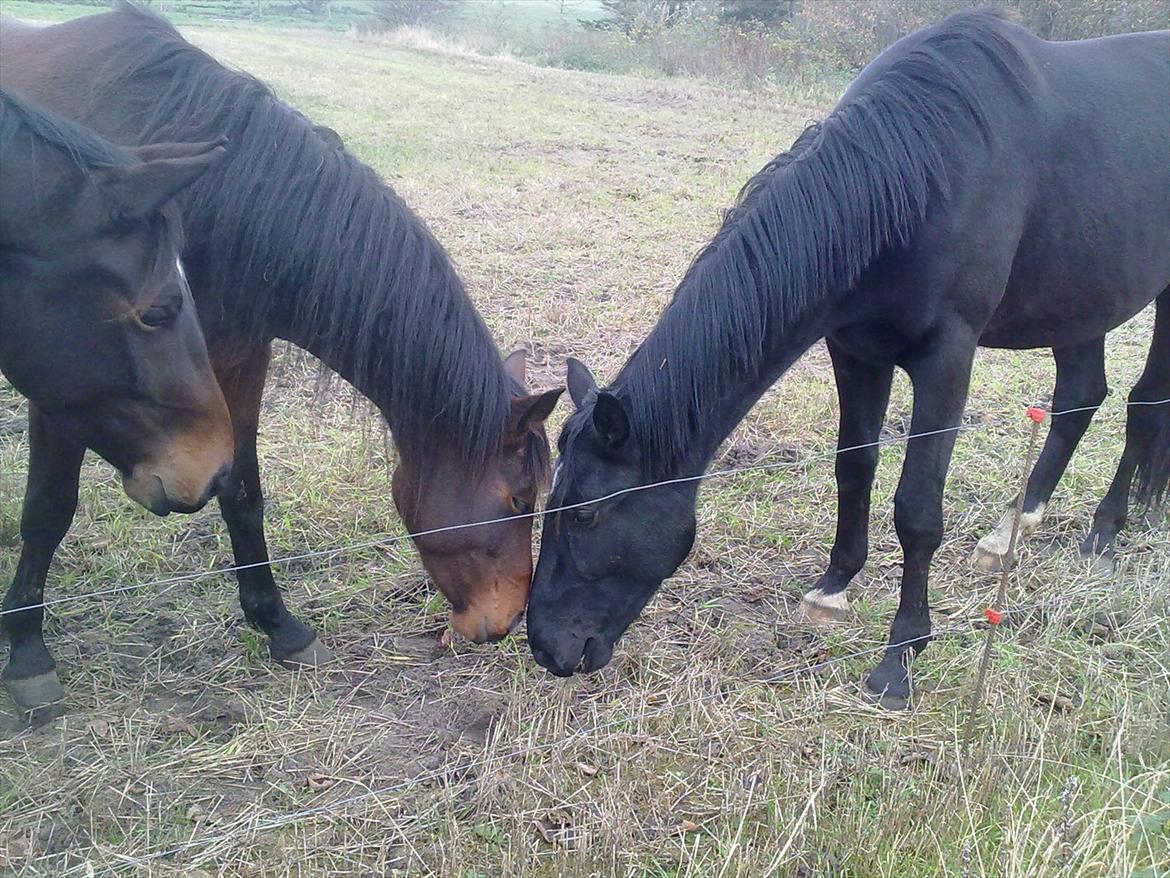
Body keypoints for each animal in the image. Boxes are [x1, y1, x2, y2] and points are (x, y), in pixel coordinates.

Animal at [531, 10, 1170, 707]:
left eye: (587, 513)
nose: (546, 647)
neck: (922, 174)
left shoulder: (947, 358)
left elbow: (917, 509)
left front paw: (900, 656)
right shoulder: (856, 350)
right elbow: (854, 466)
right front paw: (833, 589)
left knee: (1143, 403)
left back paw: (1105, 532)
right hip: (1080, 298)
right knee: (1081, 397)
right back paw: (1010, 533)